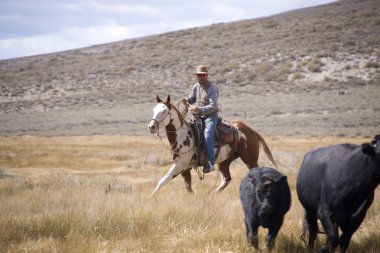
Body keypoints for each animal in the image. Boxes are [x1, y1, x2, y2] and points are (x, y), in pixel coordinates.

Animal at [148, 95, 276, 196]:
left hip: (250, 160)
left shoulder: (179, 165)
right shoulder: (184, 168)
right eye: (154, 109)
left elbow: (163, 181)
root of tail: (252, 131)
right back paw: (213, 193)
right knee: (226, 179)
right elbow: (188, 187)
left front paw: (151, 197)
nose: (151, 127)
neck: (182, 135)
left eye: (164, 111)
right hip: (225, 161)